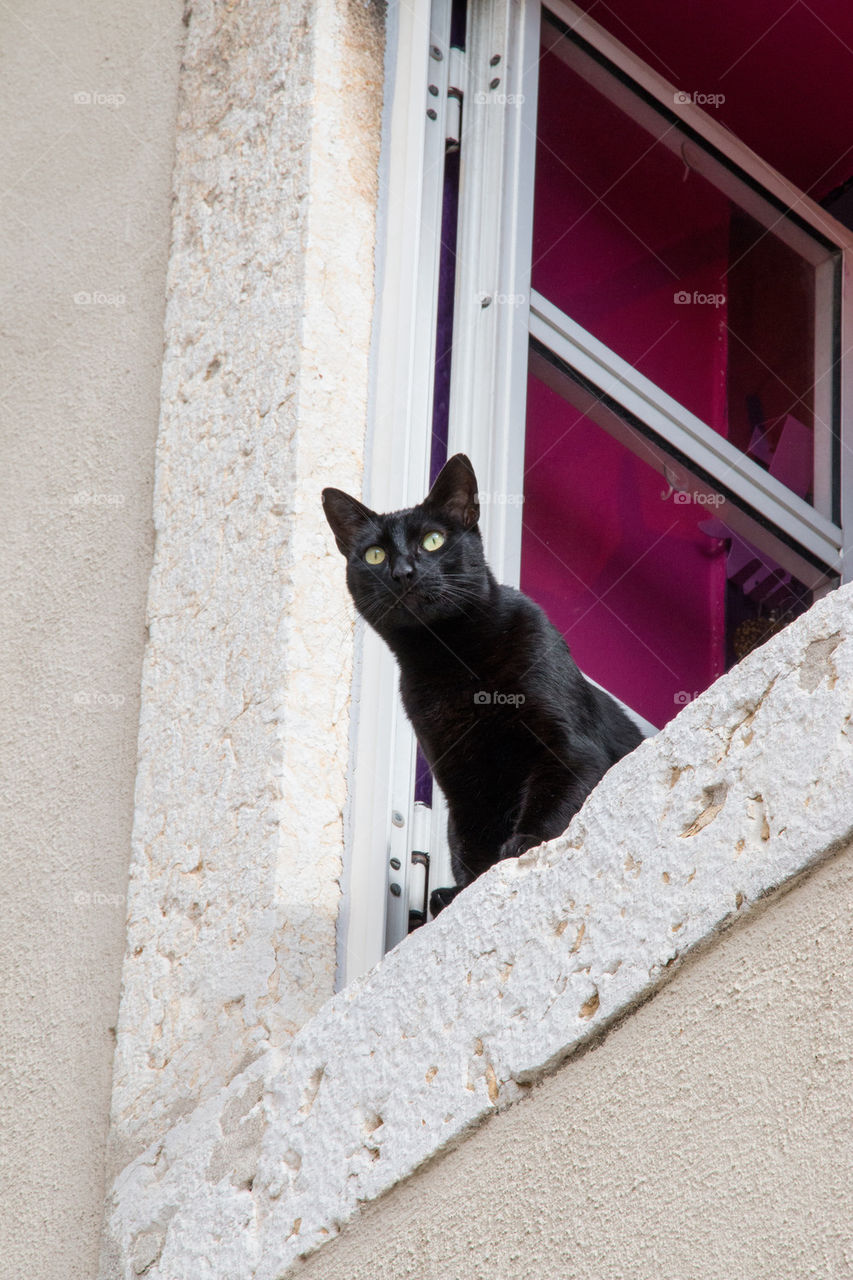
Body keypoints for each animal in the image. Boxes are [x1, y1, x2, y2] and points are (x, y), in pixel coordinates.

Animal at [322, 455, 640, 916]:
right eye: (375, 555)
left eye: (433, 541)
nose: (403, 572)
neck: (454, 662)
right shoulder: (461, 782)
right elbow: (474, 846)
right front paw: (469, 891)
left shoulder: (569, 746)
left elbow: (556, 796)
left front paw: (526, 843)